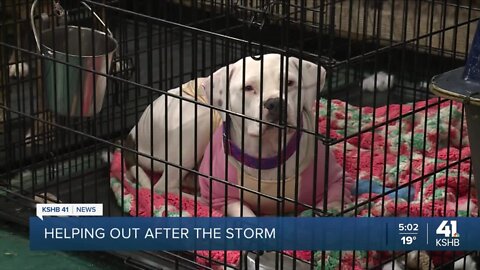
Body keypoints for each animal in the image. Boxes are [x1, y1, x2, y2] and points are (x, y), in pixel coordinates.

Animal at [197, 53, 354, 217]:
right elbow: (245, 213)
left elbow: (331, 203)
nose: (276, 103)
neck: (267, 151)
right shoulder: (221, 198)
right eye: (248, 87)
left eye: (289, 82)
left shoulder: (338, 181)